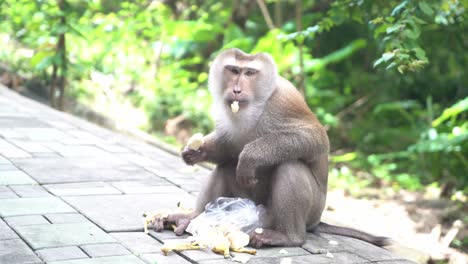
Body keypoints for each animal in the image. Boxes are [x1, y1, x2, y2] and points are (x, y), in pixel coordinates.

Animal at [152, 48, 390, 249]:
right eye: (233, 70)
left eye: (249, 73)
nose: (236, 90)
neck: (256, 104)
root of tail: (317, 221)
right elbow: (226, 147)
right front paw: (194, 152)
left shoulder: (285, 100)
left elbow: (315, 138)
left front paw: (250, 156)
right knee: (225, 166)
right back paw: (192, 217)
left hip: (298, 212)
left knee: (290, 166)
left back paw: (289, 237)